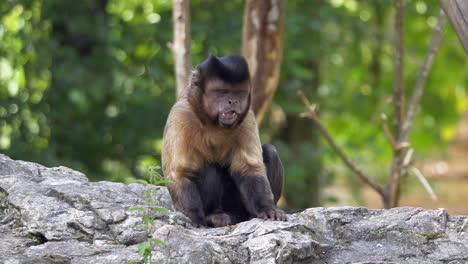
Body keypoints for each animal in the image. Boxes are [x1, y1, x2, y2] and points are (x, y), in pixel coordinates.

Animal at [161, 53, 288, 227]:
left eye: (239, 93)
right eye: (222, 92)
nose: (232, 101)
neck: (212, 123)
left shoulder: (246, 118)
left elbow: (248, 168)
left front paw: (266, 208)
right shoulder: (181, 116)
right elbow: (180, 172)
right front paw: (195, 217)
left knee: (270, 151)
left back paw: (244, 215)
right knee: (209, 168)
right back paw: (215, 216)